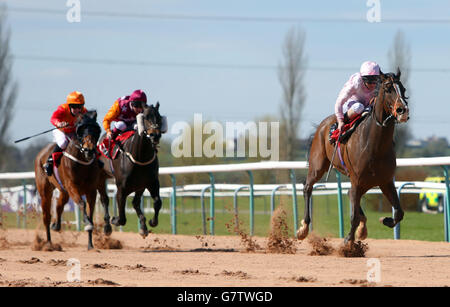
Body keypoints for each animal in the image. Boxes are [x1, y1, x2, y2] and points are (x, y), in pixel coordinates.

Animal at [35, 110, 102, 250]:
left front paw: (90, 245)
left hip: (63, 191)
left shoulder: (91, 191)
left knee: (59, 205)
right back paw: (48, 244)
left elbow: (90, 212)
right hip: (45, 192)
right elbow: (81, 204)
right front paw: (86, 222)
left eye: (95, 129)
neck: (82, 163)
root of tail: (41, 154)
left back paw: (56, 226)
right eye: (81, 130)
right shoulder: (72, 187)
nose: (89, 150)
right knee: (46, 216)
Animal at [97, 103, 164, 238]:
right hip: (101, 176)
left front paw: (152, 222)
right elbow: (122, 217)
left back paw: (143, 227)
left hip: (140, 185)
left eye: (159, 117)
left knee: (135, 202)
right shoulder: (121, 188)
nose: (155, 135)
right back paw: (107, 227)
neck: (140, 156)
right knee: (104, 199)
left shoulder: (152, 182)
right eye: (145, 117)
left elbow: (158, 202)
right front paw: (114, 219)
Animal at [300, 70, 410, 245]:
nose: (402, 111)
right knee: (307, 187)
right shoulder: (357, 179)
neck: (375, 146)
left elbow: (399, 212)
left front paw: (385, 220)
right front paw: (348, 240)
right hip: (318, 165)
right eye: (388, 89)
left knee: (350, 194)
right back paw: (303, 228)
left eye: (403, 89)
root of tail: (323, 124)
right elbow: (353, 216)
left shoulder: (385, 181)